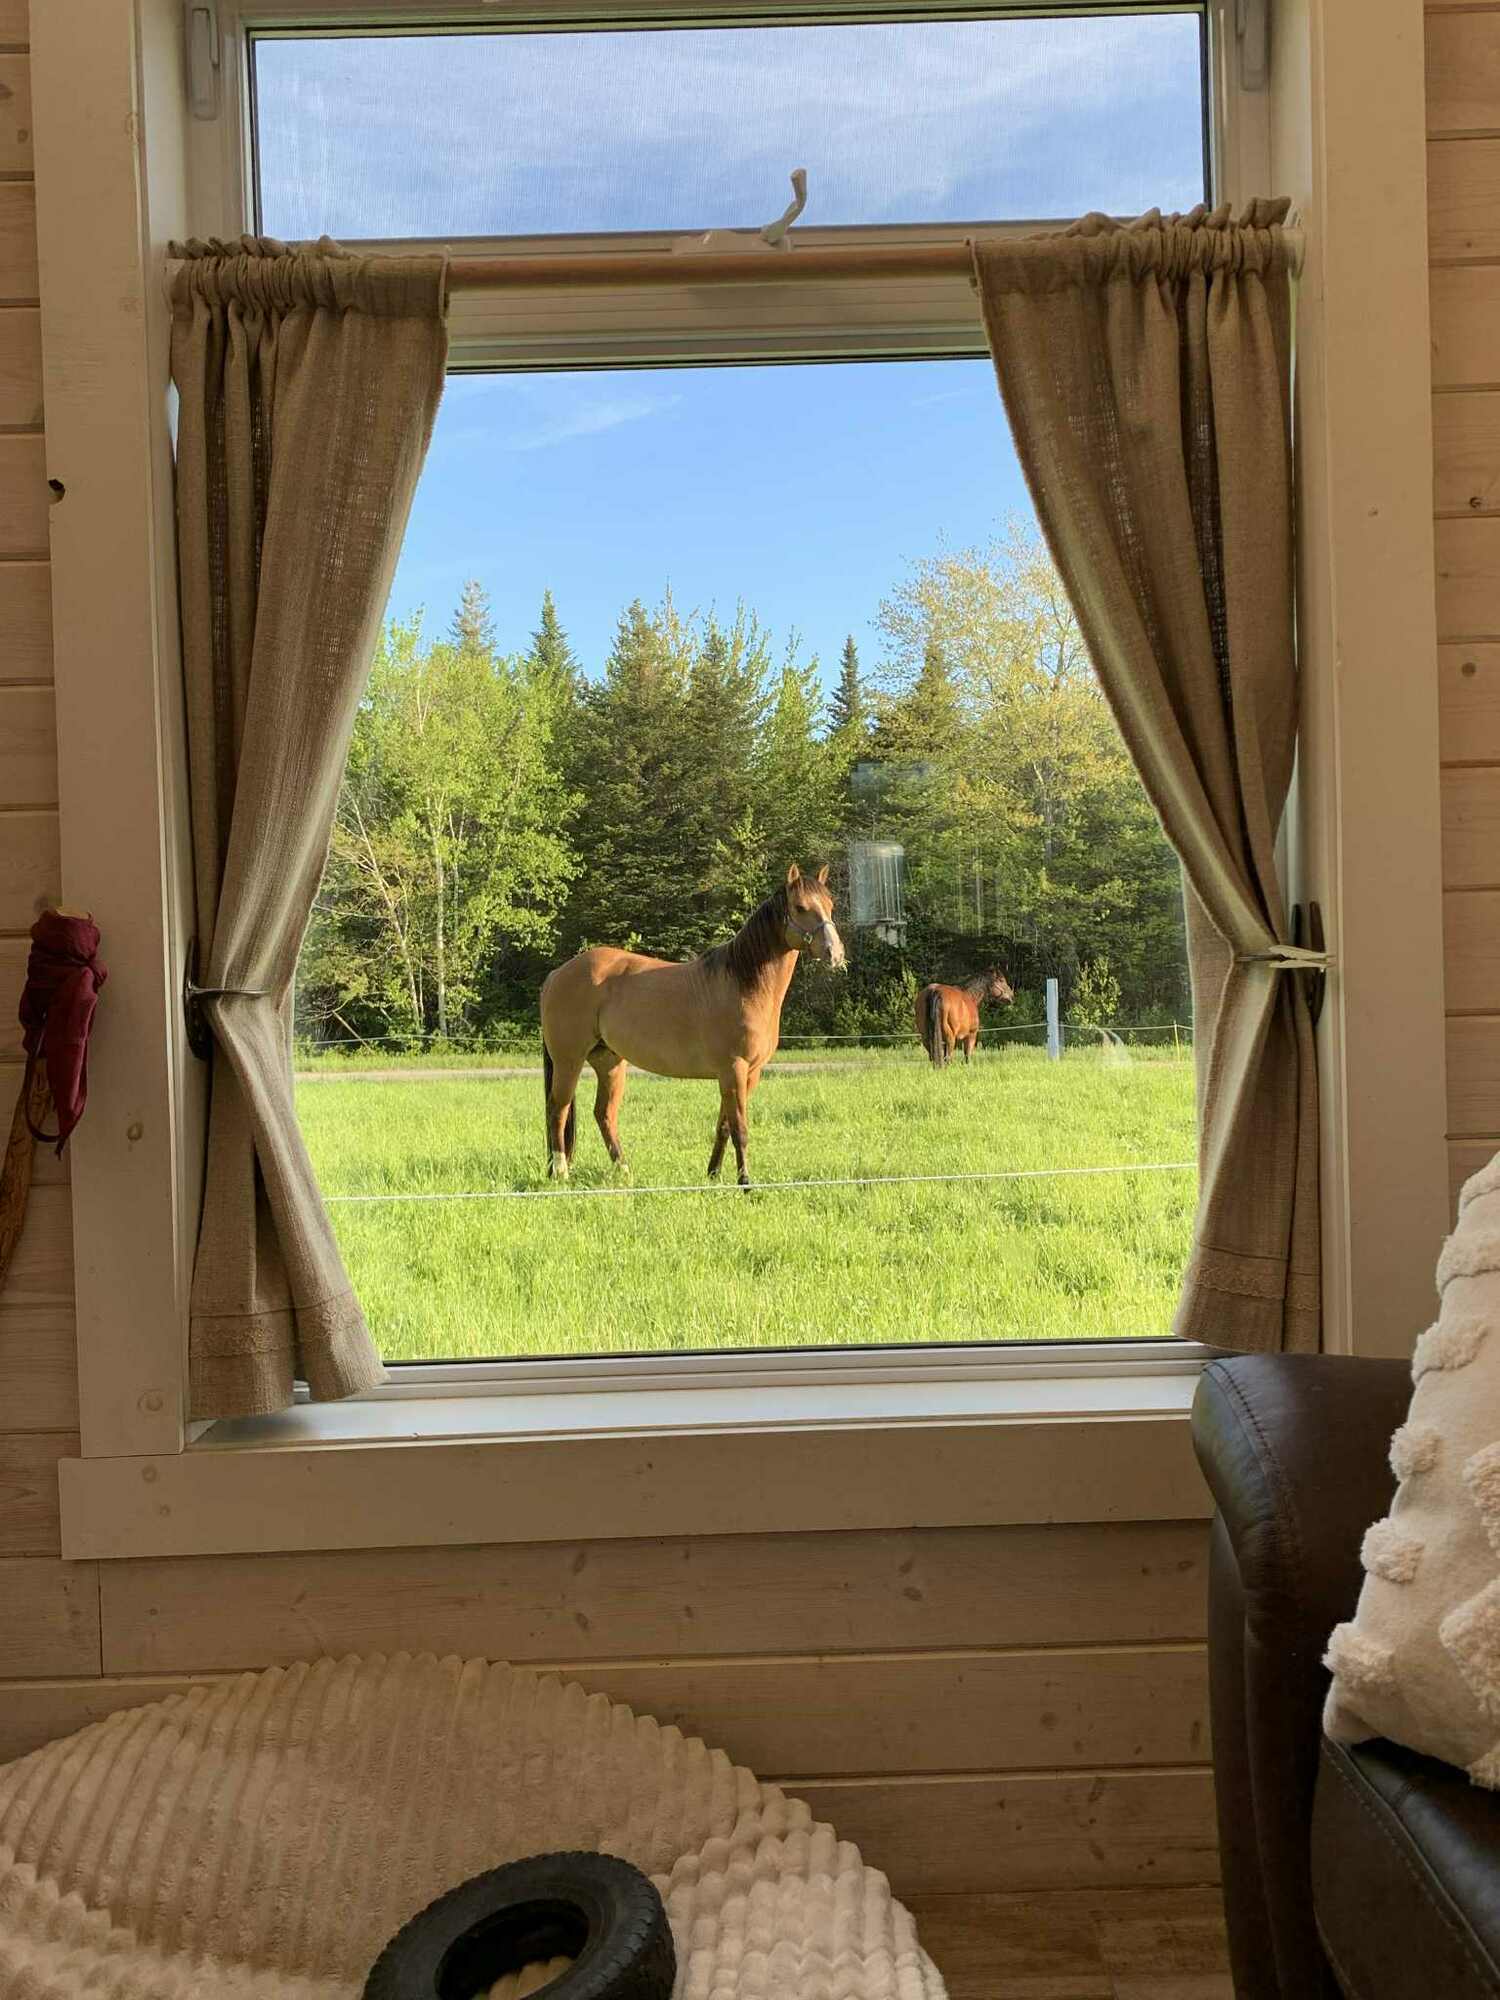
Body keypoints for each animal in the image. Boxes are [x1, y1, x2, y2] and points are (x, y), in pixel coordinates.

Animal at [540, 864, 845, 1186]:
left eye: (830, 905)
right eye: (800, 907)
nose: (835, 953)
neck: (742, 983)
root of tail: (557, 973)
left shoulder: (748, 1073)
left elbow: (725, 1127)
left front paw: (713, 1174)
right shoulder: (733, 1070)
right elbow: (740, 1129)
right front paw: (745, 1183)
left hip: (609, 1062)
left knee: (603, 1114)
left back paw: (624, 1172)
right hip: (569, 1062)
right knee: (557, 1110)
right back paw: (561, 1173)